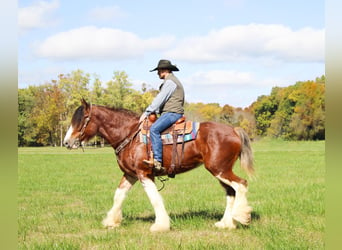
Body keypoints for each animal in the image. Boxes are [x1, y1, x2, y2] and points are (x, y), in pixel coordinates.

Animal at [63, 98, 254, 231]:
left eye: (82, 119)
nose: (66, 142)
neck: (129, 134)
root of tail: (234, 130)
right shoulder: (130, 174)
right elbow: (119, 195)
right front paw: (111, 221)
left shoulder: (144, 173)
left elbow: (154, 198)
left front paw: (160, 225)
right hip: (220, 171)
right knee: (231, 192)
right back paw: (226, 223)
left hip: (219, 169)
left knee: (241, 184)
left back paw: (241, 216)